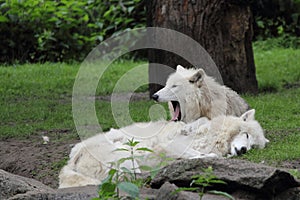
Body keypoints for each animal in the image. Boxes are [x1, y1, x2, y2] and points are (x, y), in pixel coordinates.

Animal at [59, 108, 270, 188]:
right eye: (247, 135)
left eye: (253, 147)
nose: (243, 151)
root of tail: (71, 163)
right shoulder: (172, 143)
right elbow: (204, 153)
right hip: (126, 155)